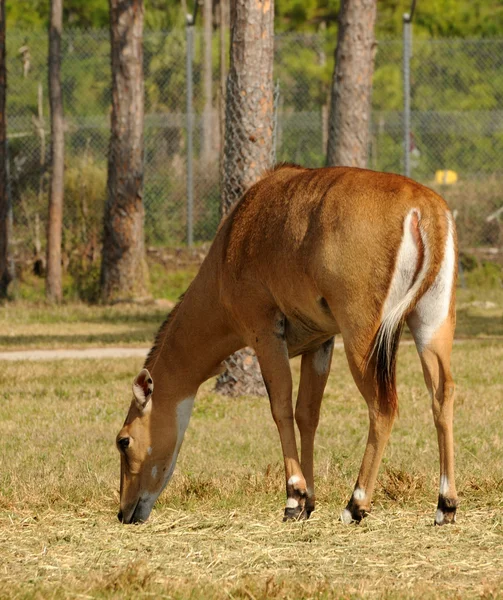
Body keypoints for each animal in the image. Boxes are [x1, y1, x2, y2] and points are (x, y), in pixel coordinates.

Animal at [116, 163, 458, 524]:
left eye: (123, 441)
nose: (124, 512)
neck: (230, 244)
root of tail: (424, 208)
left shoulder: (264, 331)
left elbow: (280, 407)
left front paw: (294, 498)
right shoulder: (321, 341)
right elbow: (307, 413)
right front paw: (309, 502)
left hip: (362, 333)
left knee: (383, 405)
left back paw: (355, 504)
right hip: (431, 322)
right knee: (442, 393)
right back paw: (445, 505)